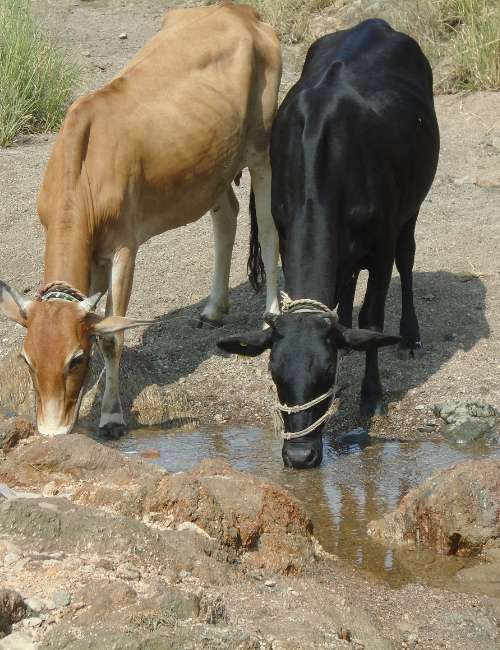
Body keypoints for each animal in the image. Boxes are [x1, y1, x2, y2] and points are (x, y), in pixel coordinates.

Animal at [0, 3, 281, 438]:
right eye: (27, 360)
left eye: (74, 359)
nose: (52, 431)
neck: (84, 172)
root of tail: (242, 13)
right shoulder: (93, 253)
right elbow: (100, 321)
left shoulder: (123, 247)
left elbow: (112, 335)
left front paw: (111, 416)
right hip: (212, 165)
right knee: (227, 216)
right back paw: (213, 310)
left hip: (261, 146)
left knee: (268, 228)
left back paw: (272, 318)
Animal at [218, 19, 440, 469]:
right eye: (275, 374)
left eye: (326, 373)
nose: (300, 455)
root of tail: (376, 23)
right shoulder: (287, 234)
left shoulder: (381, 245)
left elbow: (374, 316)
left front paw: (371, 395)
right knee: (346, 282)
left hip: (412, 207)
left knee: (407, 260)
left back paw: (409, 335)